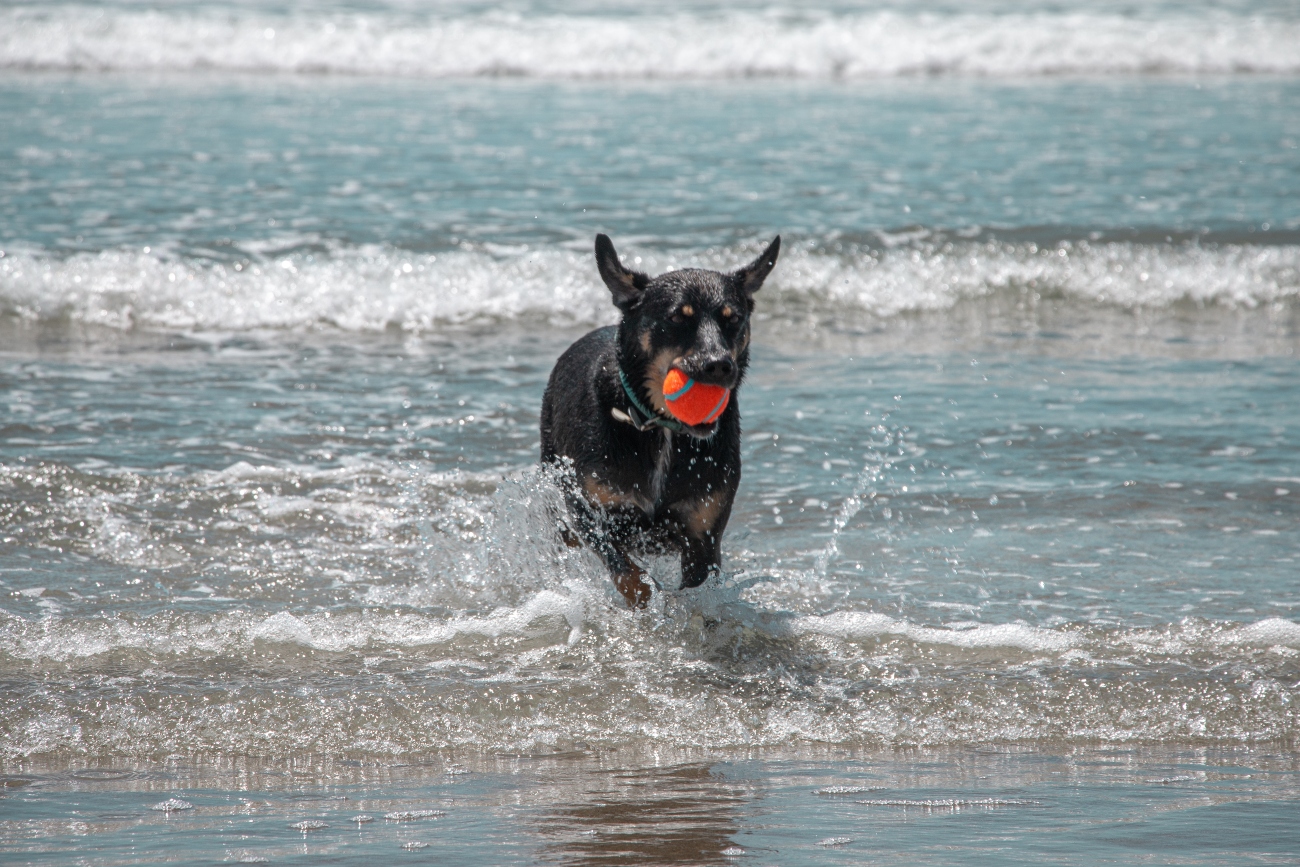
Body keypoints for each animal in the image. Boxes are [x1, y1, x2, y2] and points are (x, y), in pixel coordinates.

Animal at [540, 233, 774, 608]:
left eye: (732, 319)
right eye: (679, 318)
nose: (719, 365)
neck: (660, 426)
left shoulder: (703, 531)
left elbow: (696, 587)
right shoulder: (590, 511)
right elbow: (626, 571)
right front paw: (646, 599)